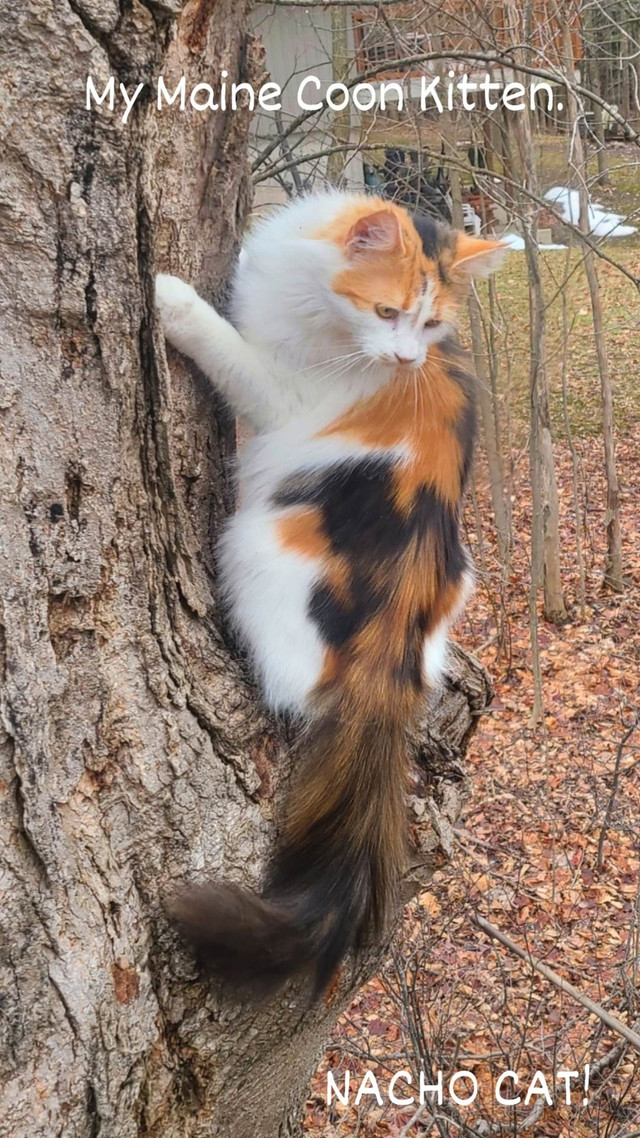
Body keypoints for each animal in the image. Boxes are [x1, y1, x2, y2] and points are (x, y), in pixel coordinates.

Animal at [154, 193, 503, 996]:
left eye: (431, 325)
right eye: (389, 312)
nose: (406, 361)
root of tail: (390, 661)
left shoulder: (283, 394)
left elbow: (228, 348)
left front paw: (169, 298)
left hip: (250, 546)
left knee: (292, 689)